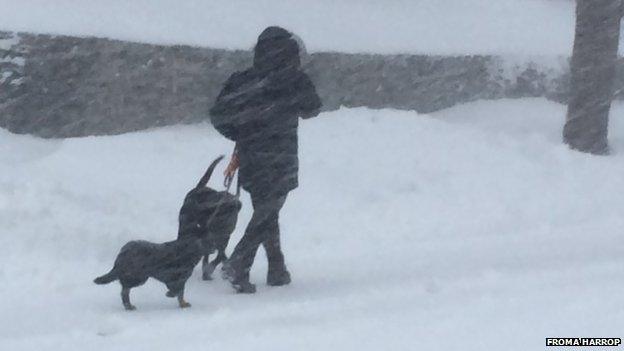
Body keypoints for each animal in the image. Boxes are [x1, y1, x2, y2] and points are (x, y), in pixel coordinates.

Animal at [94, 157, 240, 310]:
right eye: (209, 240)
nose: (215, 246)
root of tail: (121, 256)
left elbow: (181, 293)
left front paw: (182, 302)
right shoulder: (178, 277)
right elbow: (177, 290)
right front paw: (173, 295)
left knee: (124, 288)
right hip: (139, 276)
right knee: (125, 289)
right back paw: (129, 305)